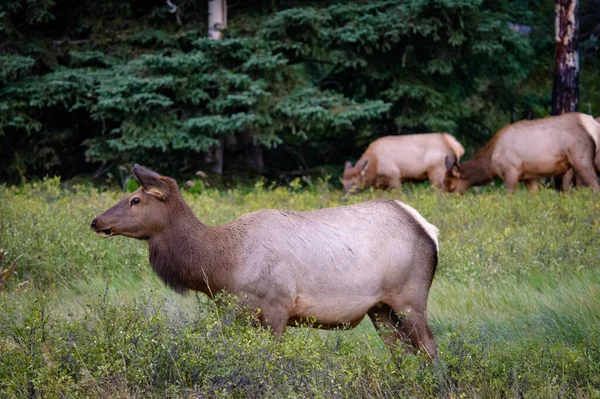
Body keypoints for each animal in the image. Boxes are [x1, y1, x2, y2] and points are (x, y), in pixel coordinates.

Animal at [92, 166, 440, 360]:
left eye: (135, 199)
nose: (96, 221)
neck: (219, 267)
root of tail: (428, 229)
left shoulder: (277, 307)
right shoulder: (236, 315)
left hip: (410, 297)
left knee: (430, 348)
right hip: (380, 309)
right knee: (401, 354)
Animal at [442, 111, 596, 195]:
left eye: (451, 186)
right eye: (444, 182)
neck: (491, 162)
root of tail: (592, 123)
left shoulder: (511, 170)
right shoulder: (528, 177)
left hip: (582, 160)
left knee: (595, 186)